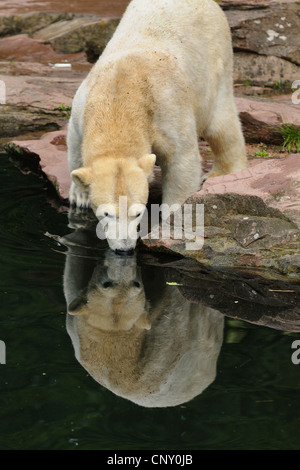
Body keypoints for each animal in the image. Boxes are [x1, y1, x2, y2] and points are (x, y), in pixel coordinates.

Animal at [67, 0, 246, 253]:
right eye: (106, 213)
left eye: (137, 213)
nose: (124, 248)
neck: (120, 95)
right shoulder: (82, 106)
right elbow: (74, 142)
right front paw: (79, 196)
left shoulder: (166, 109)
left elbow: (181, 160)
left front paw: (171, 218)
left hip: (215, 57)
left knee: (221, 123)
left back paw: (223, 173)